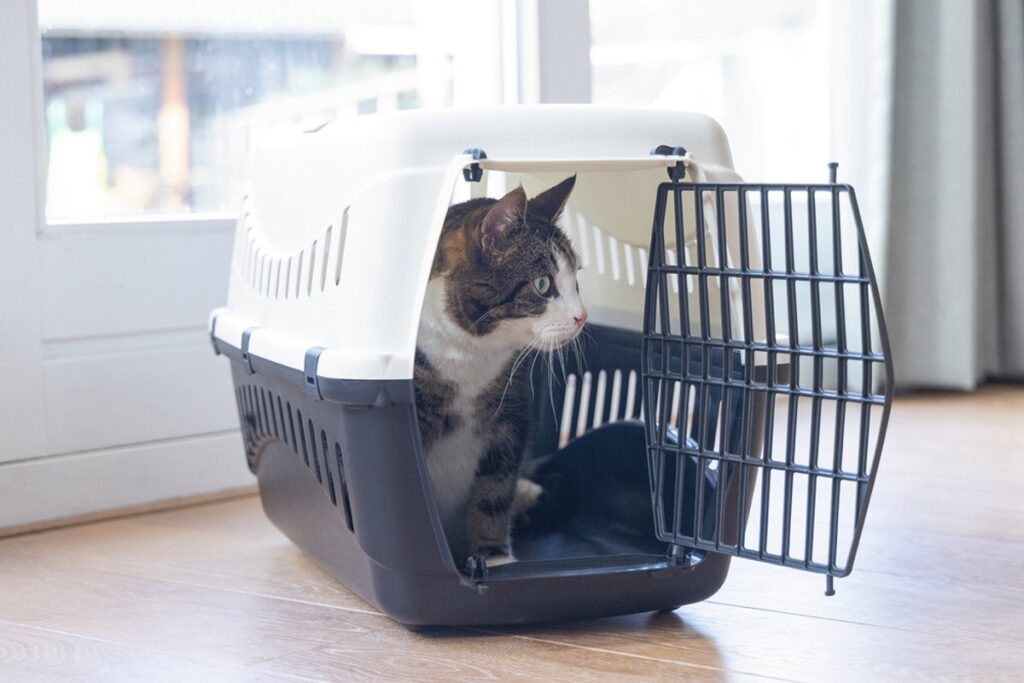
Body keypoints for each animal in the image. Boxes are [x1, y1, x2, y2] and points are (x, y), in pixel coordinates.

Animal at [414, 176, 586, 567]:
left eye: (576, 280)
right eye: (542, 284)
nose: (582, 317)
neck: (470, 354)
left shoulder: (512, 415)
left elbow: (494, 492)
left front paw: (495, 560)